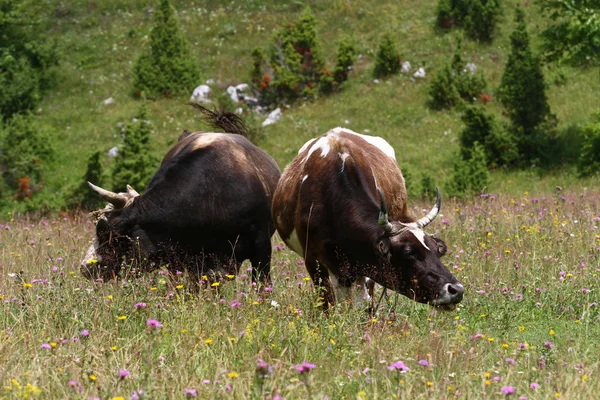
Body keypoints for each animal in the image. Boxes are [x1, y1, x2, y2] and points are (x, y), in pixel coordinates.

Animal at [272, 127, 464, 310]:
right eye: (409, 252)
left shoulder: (367, 266)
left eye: (437, 251)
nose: (457, 290)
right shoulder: (313, 261)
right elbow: (326, 304)